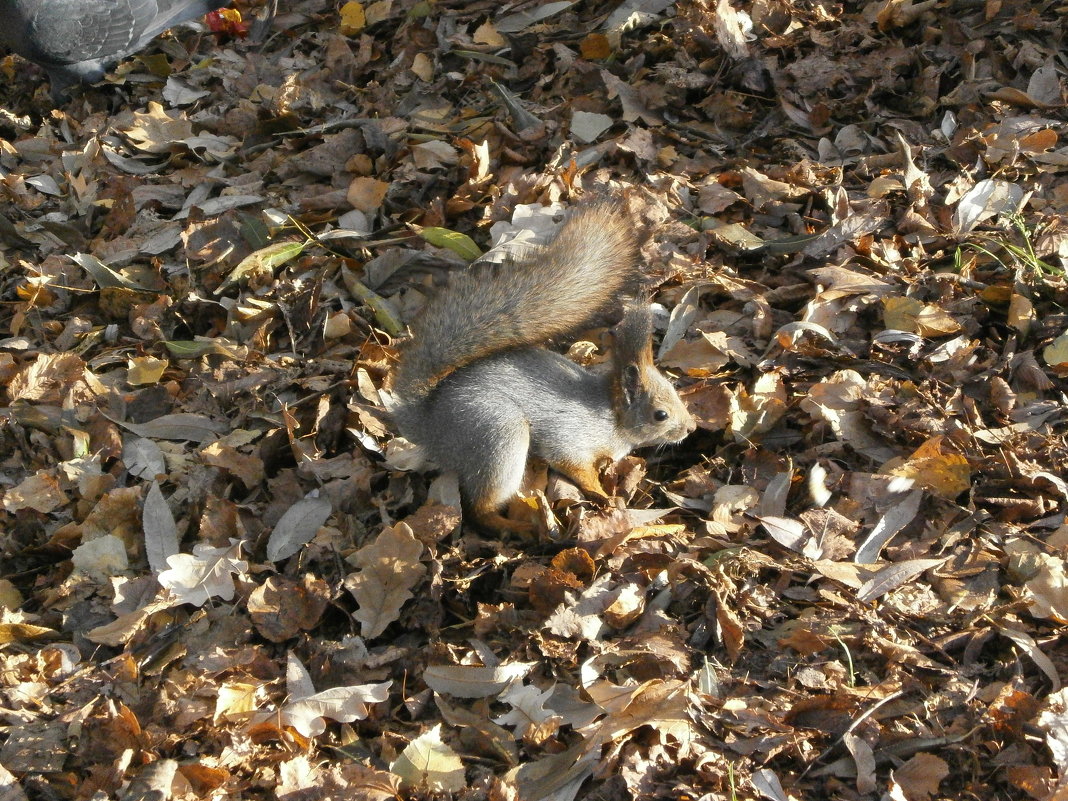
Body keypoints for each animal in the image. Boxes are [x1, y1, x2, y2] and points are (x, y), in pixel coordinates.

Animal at [388, 200, 696, 534]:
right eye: (660, 415)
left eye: (674, 390)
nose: (691, 428)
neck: (611, 417)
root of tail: (427, 426)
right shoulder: (570, 438)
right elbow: (573, 466)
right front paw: (602, 494)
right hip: (497, 433)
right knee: (480, 507)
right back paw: (520, 528)